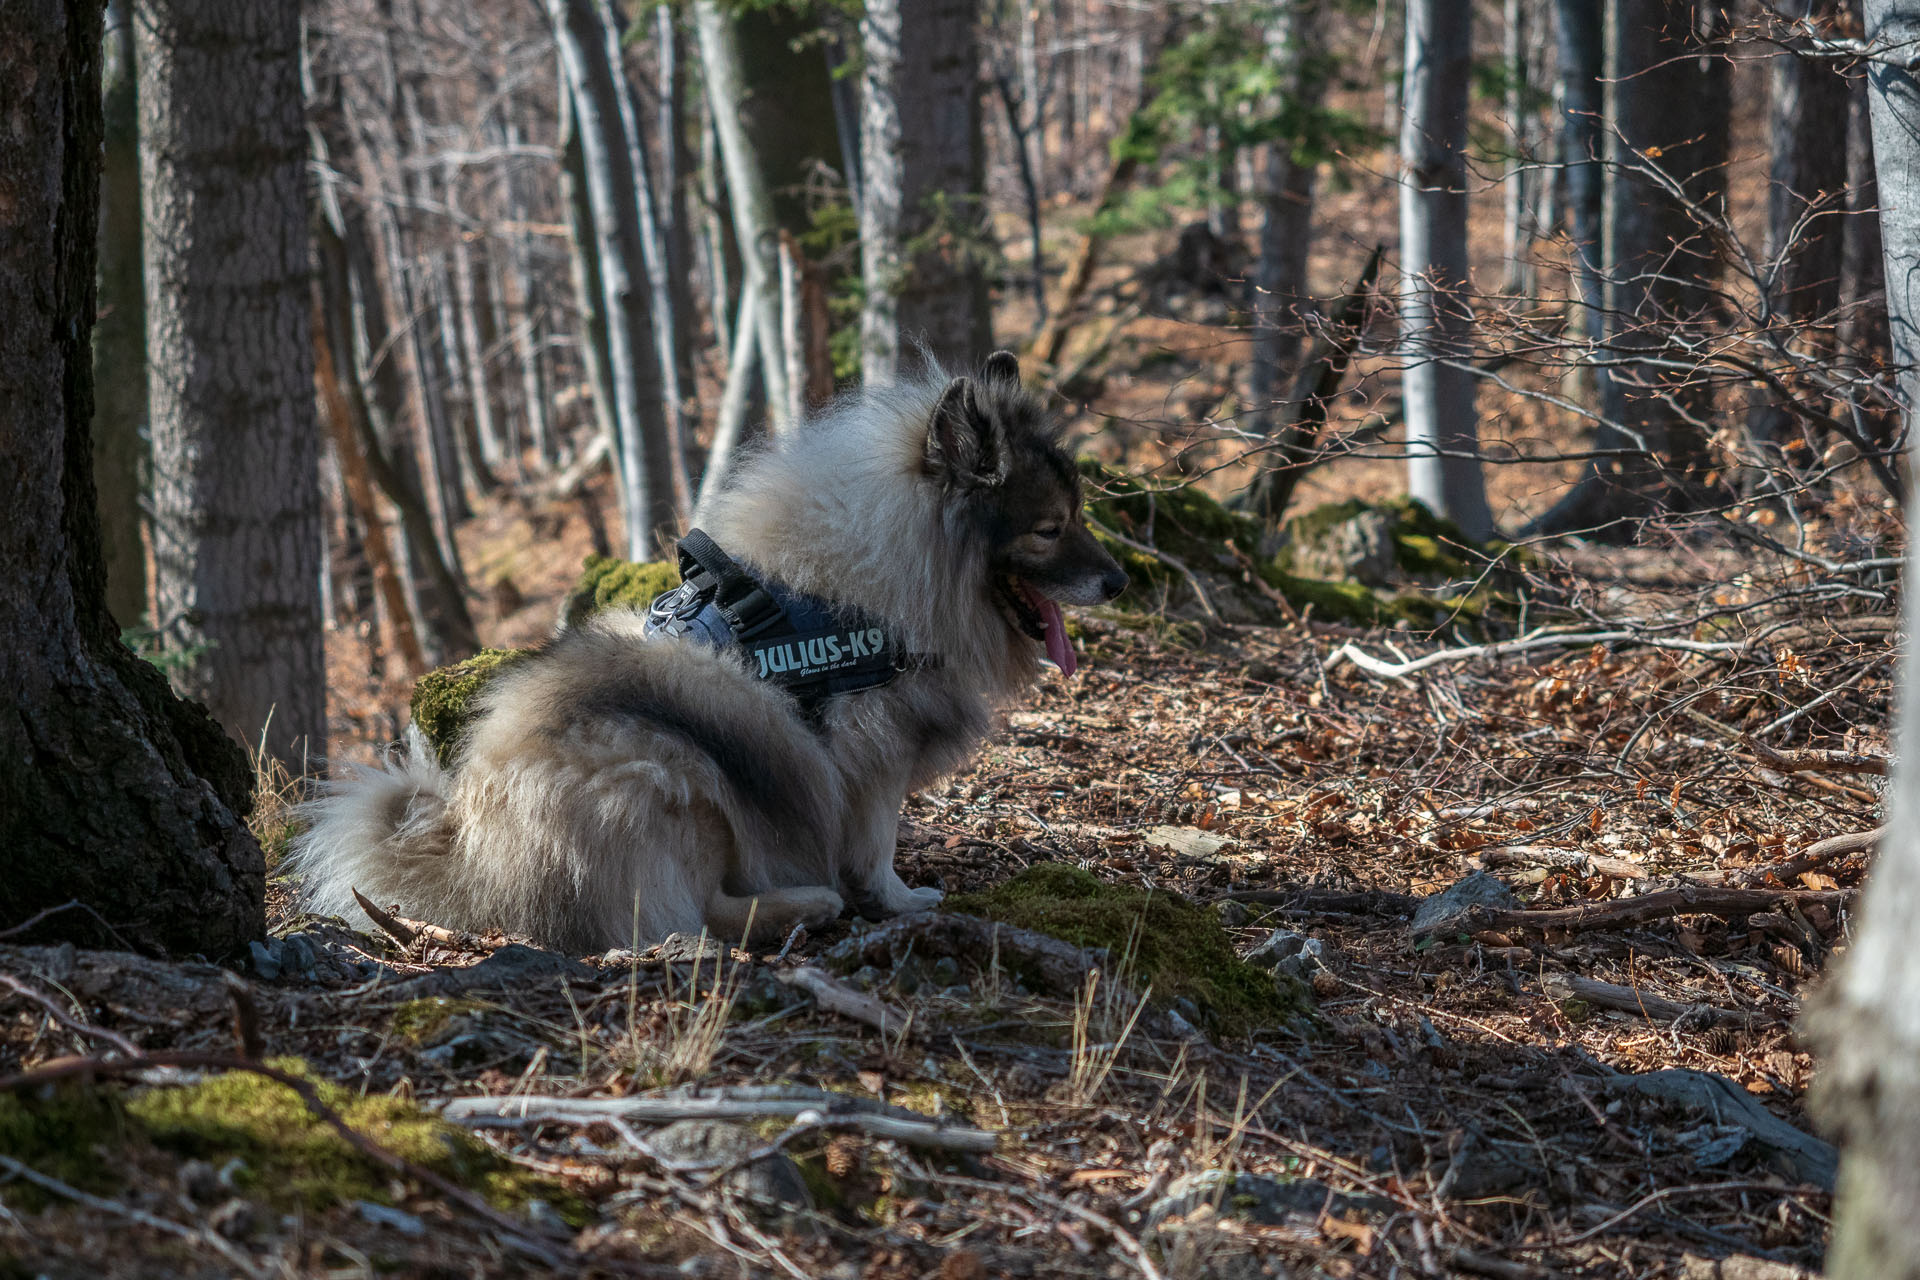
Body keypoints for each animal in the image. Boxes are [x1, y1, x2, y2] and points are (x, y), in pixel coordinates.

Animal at [284, 355, 1121, 955]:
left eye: (1078, 515)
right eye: (1049, 529)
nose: (1119, 579)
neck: (873, 583)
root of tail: (474, 852)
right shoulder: (868, 761)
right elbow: (874, 849)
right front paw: (900, 901)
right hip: (675, 775)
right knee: (691, 917)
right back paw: (804, 906)